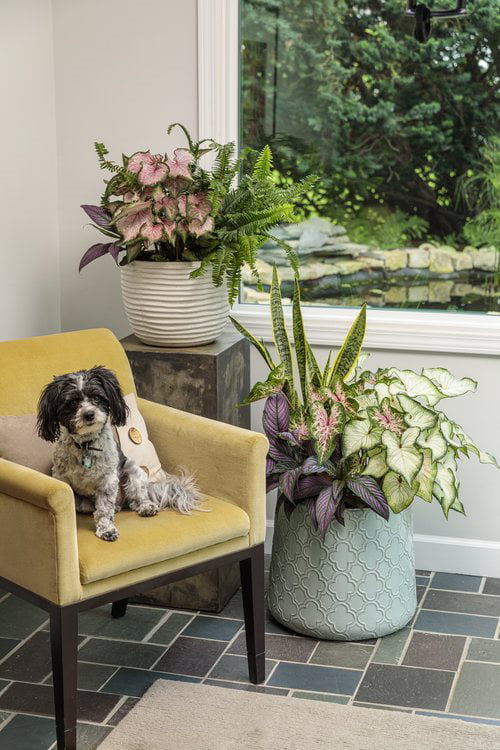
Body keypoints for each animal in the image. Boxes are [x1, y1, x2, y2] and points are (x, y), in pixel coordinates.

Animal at [36, 368, 200, 540]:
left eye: (97, 397)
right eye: (73, 402)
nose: (89, 414)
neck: (86, 445)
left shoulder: (108, 479)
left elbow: (104, 509)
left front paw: (106, 529)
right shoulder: (61, 477)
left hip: (134, 472)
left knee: (137, 496)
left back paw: (146, 506)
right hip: (86, 502)